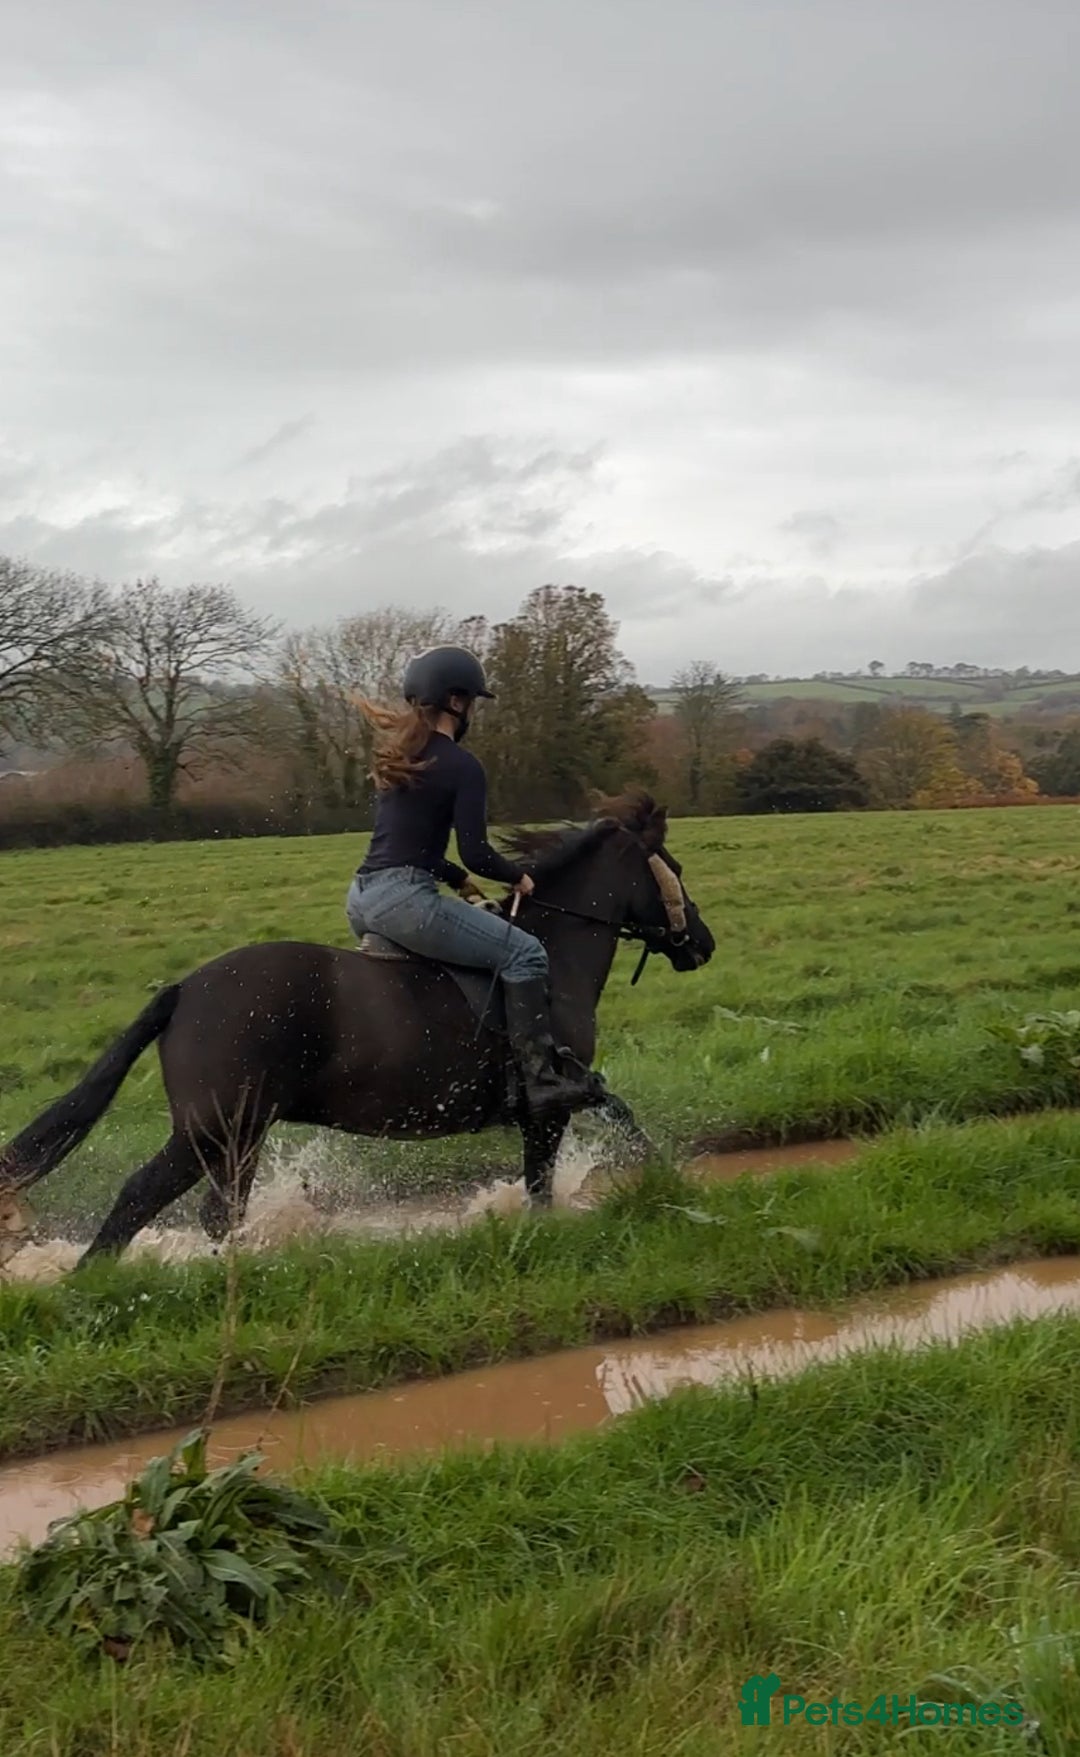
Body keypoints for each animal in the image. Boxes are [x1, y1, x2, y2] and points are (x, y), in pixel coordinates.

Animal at [0, 791, 715, 1268]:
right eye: (675, 870)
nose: (702, 944)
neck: (555, 950)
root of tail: (183, 990)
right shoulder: (552, 1100)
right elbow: (579, 1148)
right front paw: (661, 1182)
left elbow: (591, 1135)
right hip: (211, 1130)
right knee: (139, 1198)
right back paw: (94, 1285)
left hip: (239, 1136)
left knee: (216, 1212)